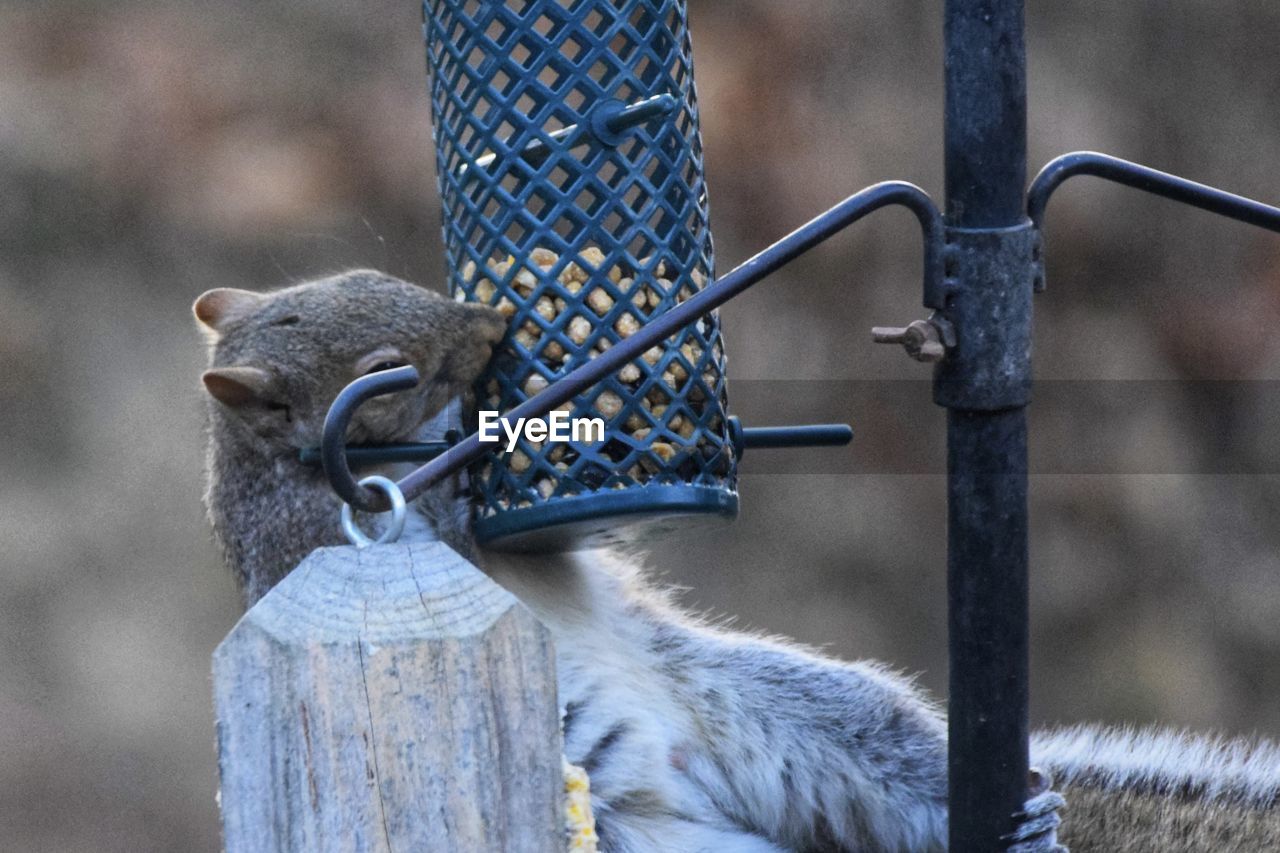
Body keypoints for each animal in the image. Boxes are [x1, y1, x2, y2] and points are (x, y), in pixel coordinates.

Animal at [194, 268, 1274, 845]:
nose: (494, 327)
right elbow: (440, 524)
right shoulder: (325, 530)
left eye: (379, 280)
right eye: (383, 376)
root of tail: (692, 791)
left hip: (805, 719)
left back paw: (1023, 825)